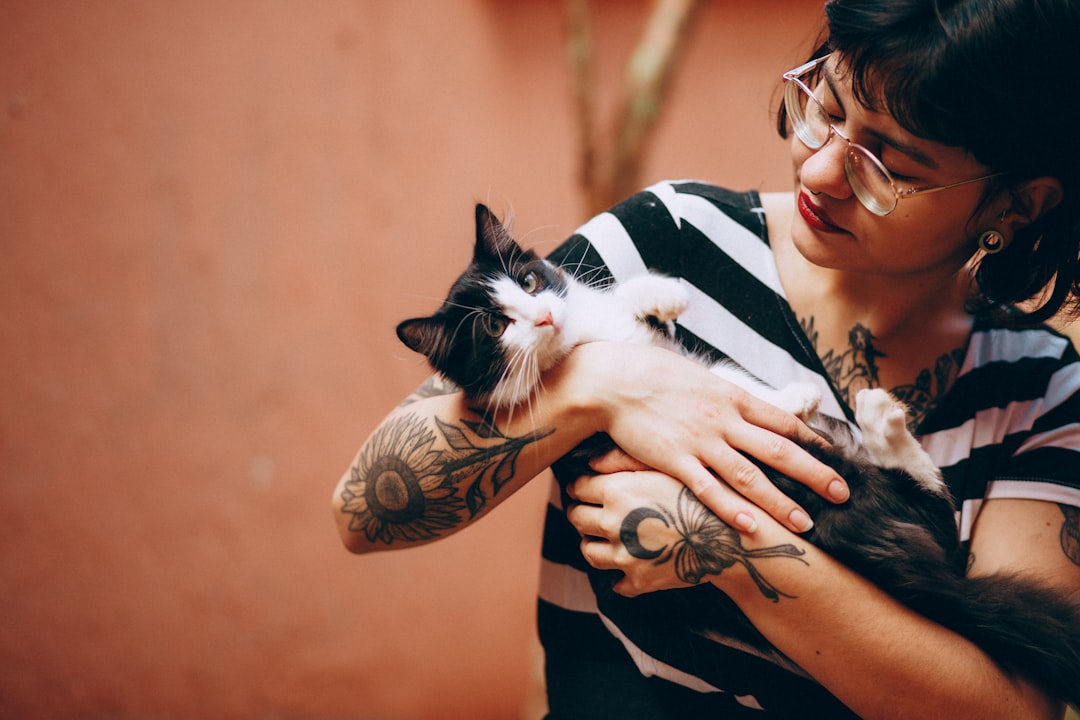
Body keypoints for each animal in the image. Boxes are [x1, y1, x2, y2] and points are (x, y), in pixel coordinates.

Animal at [397, 202, 1080, 708]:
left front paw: (662, 294)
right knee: (934, 508)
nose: (539, 316)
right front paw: (793, 393)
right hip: (858, 497)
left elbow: (634, 309)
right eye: (494, 327)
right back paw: (879, 418)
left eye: (530, 281)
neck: (580, 342)